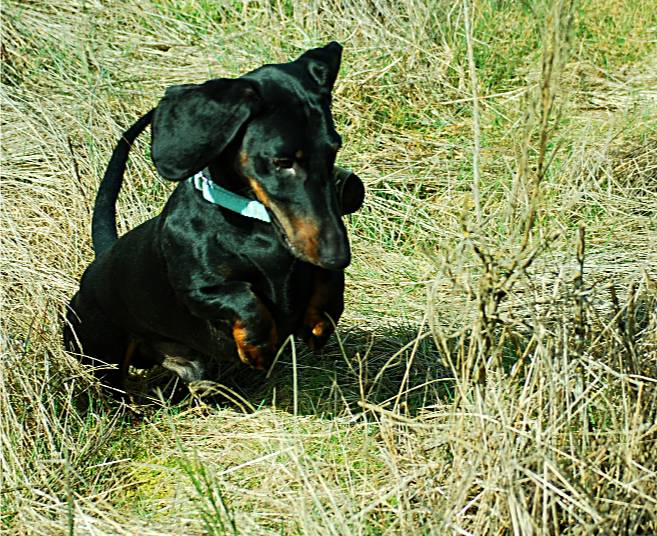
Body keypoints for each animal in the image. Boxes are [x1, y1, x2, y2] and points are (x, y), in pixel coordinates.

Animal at [62, 42, 364, 392]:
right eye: (282, 161)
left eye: (333, 150)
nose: (338, 256)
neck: (257, 227)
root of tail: (102, 257)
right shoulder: (198, 290)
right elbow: (245, 297)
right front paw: (259, 347)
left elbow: (328, 284)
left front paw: (319, 319)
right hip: (98, 351)